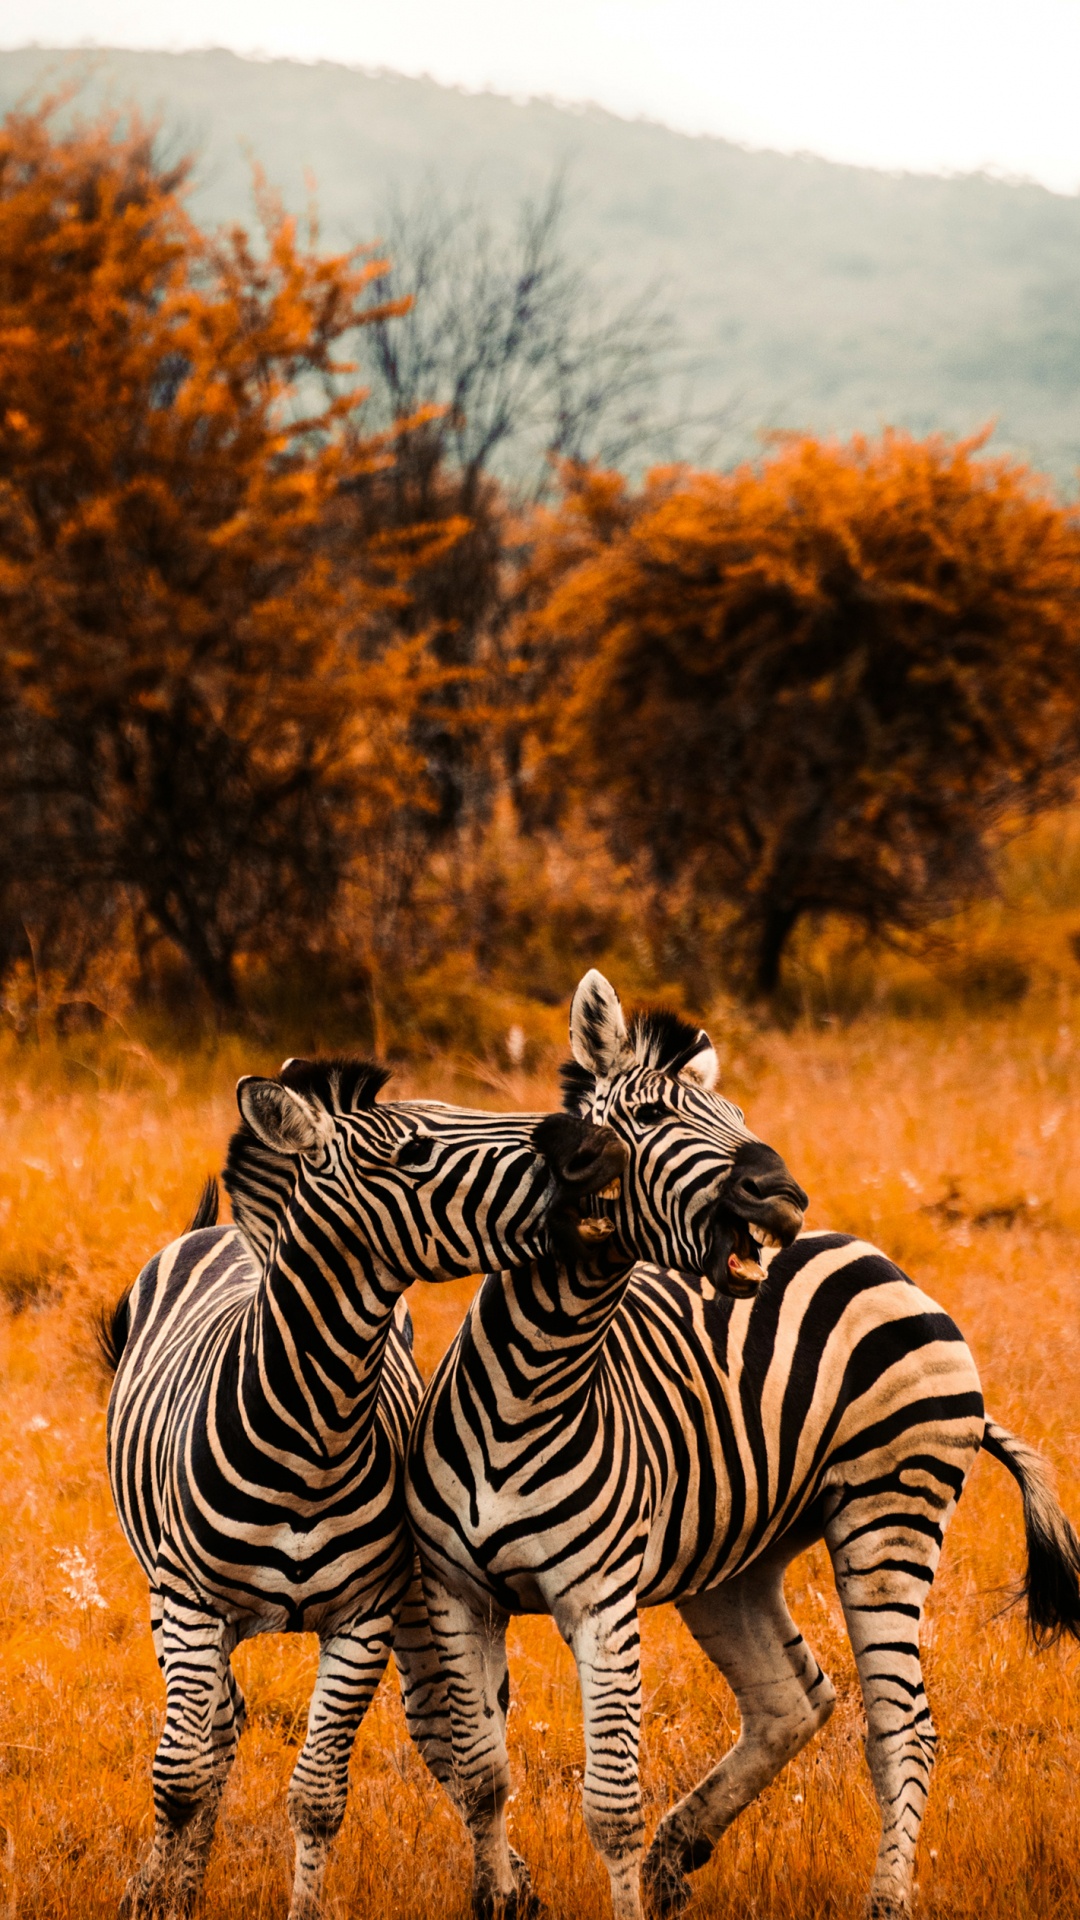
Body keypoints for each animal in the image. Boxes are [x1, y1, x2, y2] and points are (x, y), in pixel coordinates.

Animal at [102, 1054, 623, 1920]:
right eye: (413, 1152)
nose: (594, 1146)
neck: (312, 1428)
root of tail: (223, 1231)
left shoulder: (365, 1615)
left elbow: (318, 1795)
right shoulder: (191, 1603)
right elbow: (178, 1779)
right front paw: (159, 1896)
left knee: (434, 1730)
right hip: (169, 1598)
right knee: (213, 1732)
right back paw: (173, 1880)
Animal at [406, 969, 1080, 1920]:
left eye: (733, 1111)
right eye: (649, 1115)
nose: (783, 1192)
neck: (532, 1383)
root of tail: (885, 1262)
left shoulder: (600, 1599)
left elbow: (608, 1801)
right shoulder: (457, 1590)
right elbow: (480, 1775)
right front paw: (500, 1899)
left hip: (888, 1514)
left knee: (902, 1729)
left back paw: (884, 1897)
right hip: (737, 1557)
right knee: (792, 1699)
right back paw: (678, 1853)